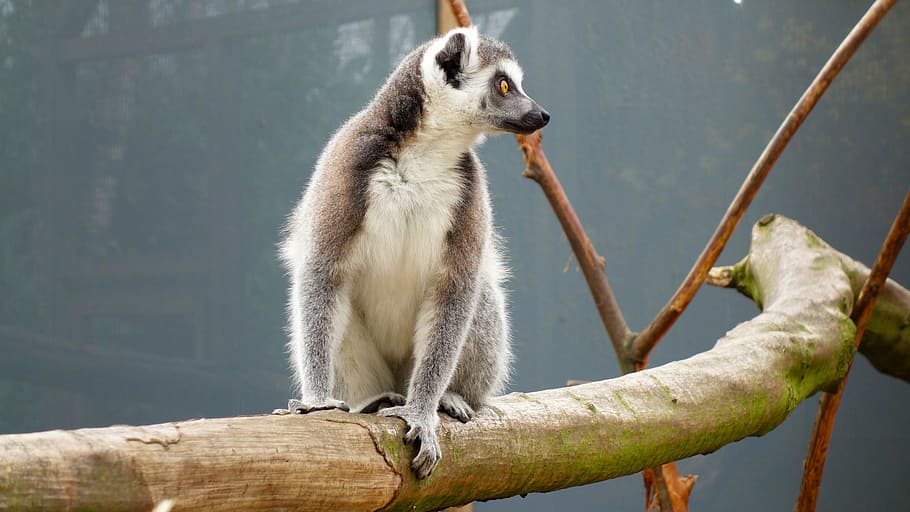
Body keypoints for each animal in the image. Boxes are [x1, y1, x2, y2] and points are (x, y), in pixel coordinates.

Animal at [278, 26, 549, 479]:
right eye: (504, 85)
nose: (542, 115)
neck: (427, 152)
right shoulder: (348, 159)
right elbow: (322, 272)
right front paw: (315, 401)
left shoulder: (471, 189)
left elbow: (456, 289)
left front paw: (421, 413)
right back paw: (373, 402)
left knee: (479, 296)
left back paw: (449, 397)